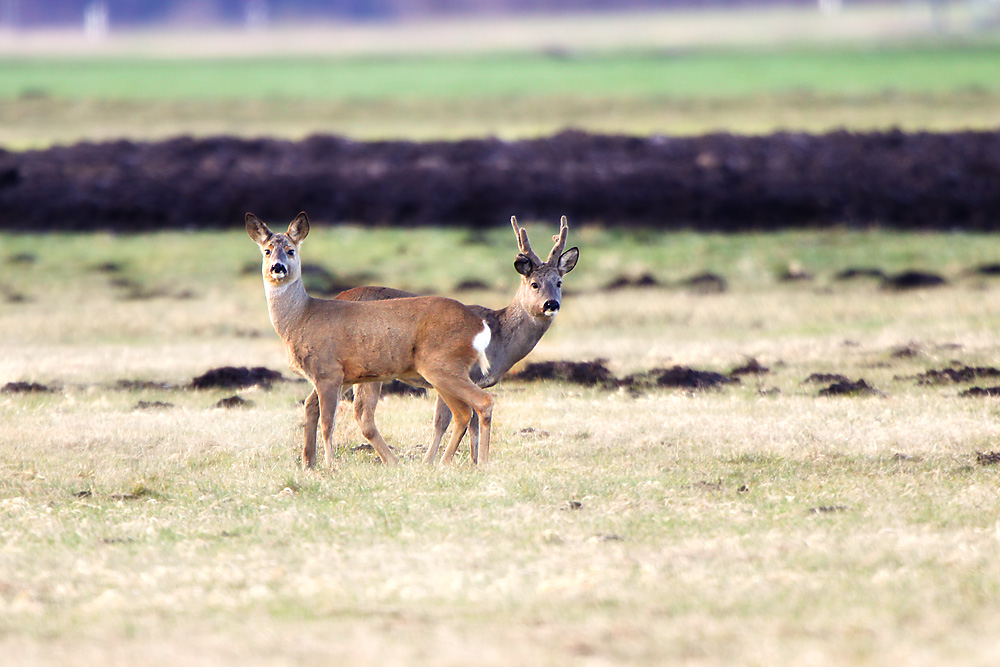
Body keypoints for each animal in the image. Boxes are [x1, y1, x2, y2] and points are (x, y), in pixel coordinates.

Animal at [242, 214, 492, 470]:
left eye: (290, 250)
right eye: (267, 250)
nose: (277, 267)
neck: (301, 317)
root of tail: (479, 326)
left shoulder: (328, 372)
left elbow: (328, 424)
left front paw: (330, 466)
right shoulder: (338, 377)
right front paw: (313, 464)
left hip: (442, 365)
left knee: (482, 402)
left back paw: (479, 462)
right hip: (441, 371)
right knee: (463, 412)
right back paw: (444, 463)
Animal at [324, 218, 580, 464]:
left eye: (559, 283)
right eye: (534, 283)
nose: (551, 304)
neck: (500, 337)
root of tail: (338, 296)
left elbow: (471, 423)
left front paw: (474, 462)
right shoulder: (456, 373)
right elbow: (443, 421)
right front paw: (432, 462)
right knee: (358, 412)